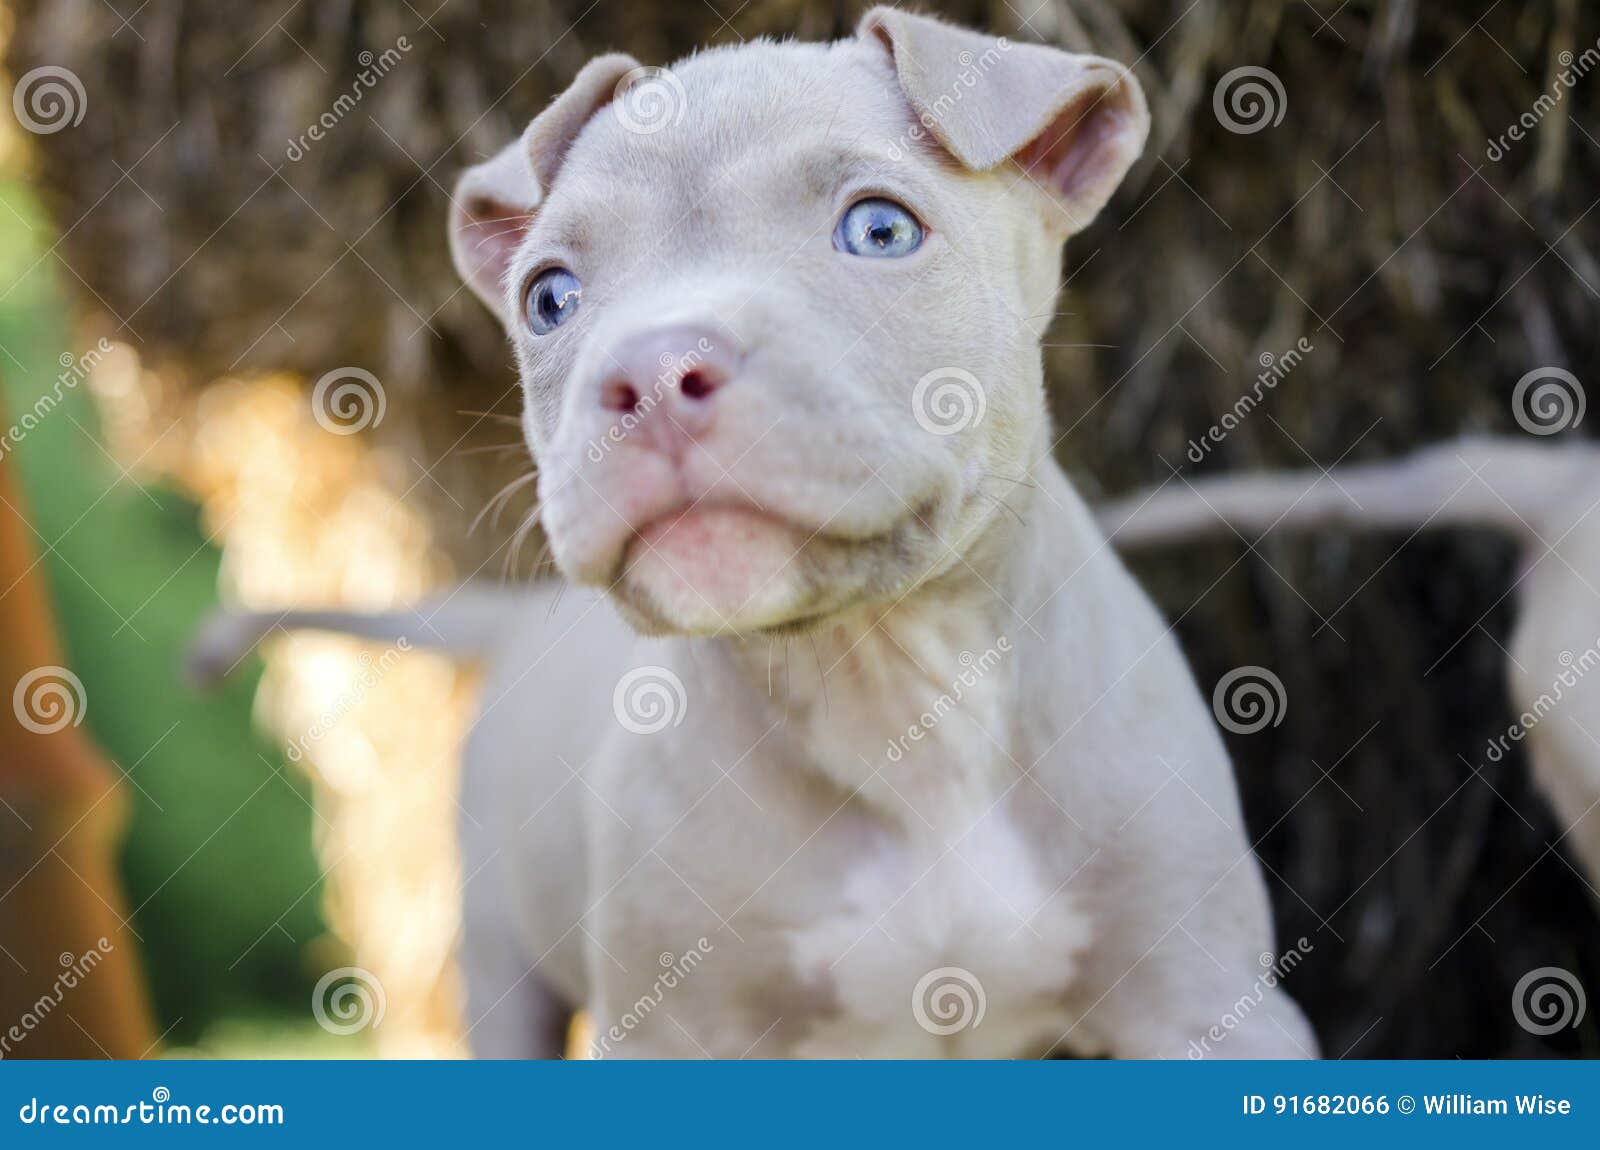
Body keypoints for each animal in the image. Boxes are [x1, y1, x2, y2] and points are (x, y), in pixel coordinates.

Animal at [193, 11, 1318, 1062]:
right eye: (549, 297)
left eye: (879, 230)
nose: (650, 373)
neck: (896, 699)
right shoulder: (669, 1027)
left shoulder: (1210, 1003)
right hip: (500, 952)